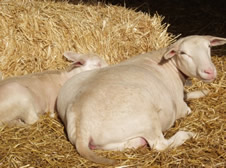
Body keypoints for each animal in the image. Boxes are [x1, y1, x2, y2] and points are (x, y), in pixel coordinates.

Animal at [56, 34, 226, 165]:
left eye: (209, 47)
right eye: (183, 53)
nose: (209, 71)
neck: (169, 65)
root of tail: (81, 122)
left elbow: (189, 94)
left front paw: (203, 91)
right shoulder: (181, 107)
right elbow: (187, 106)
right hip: (147, 117)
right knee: (160, 145)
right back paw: (190, 134)